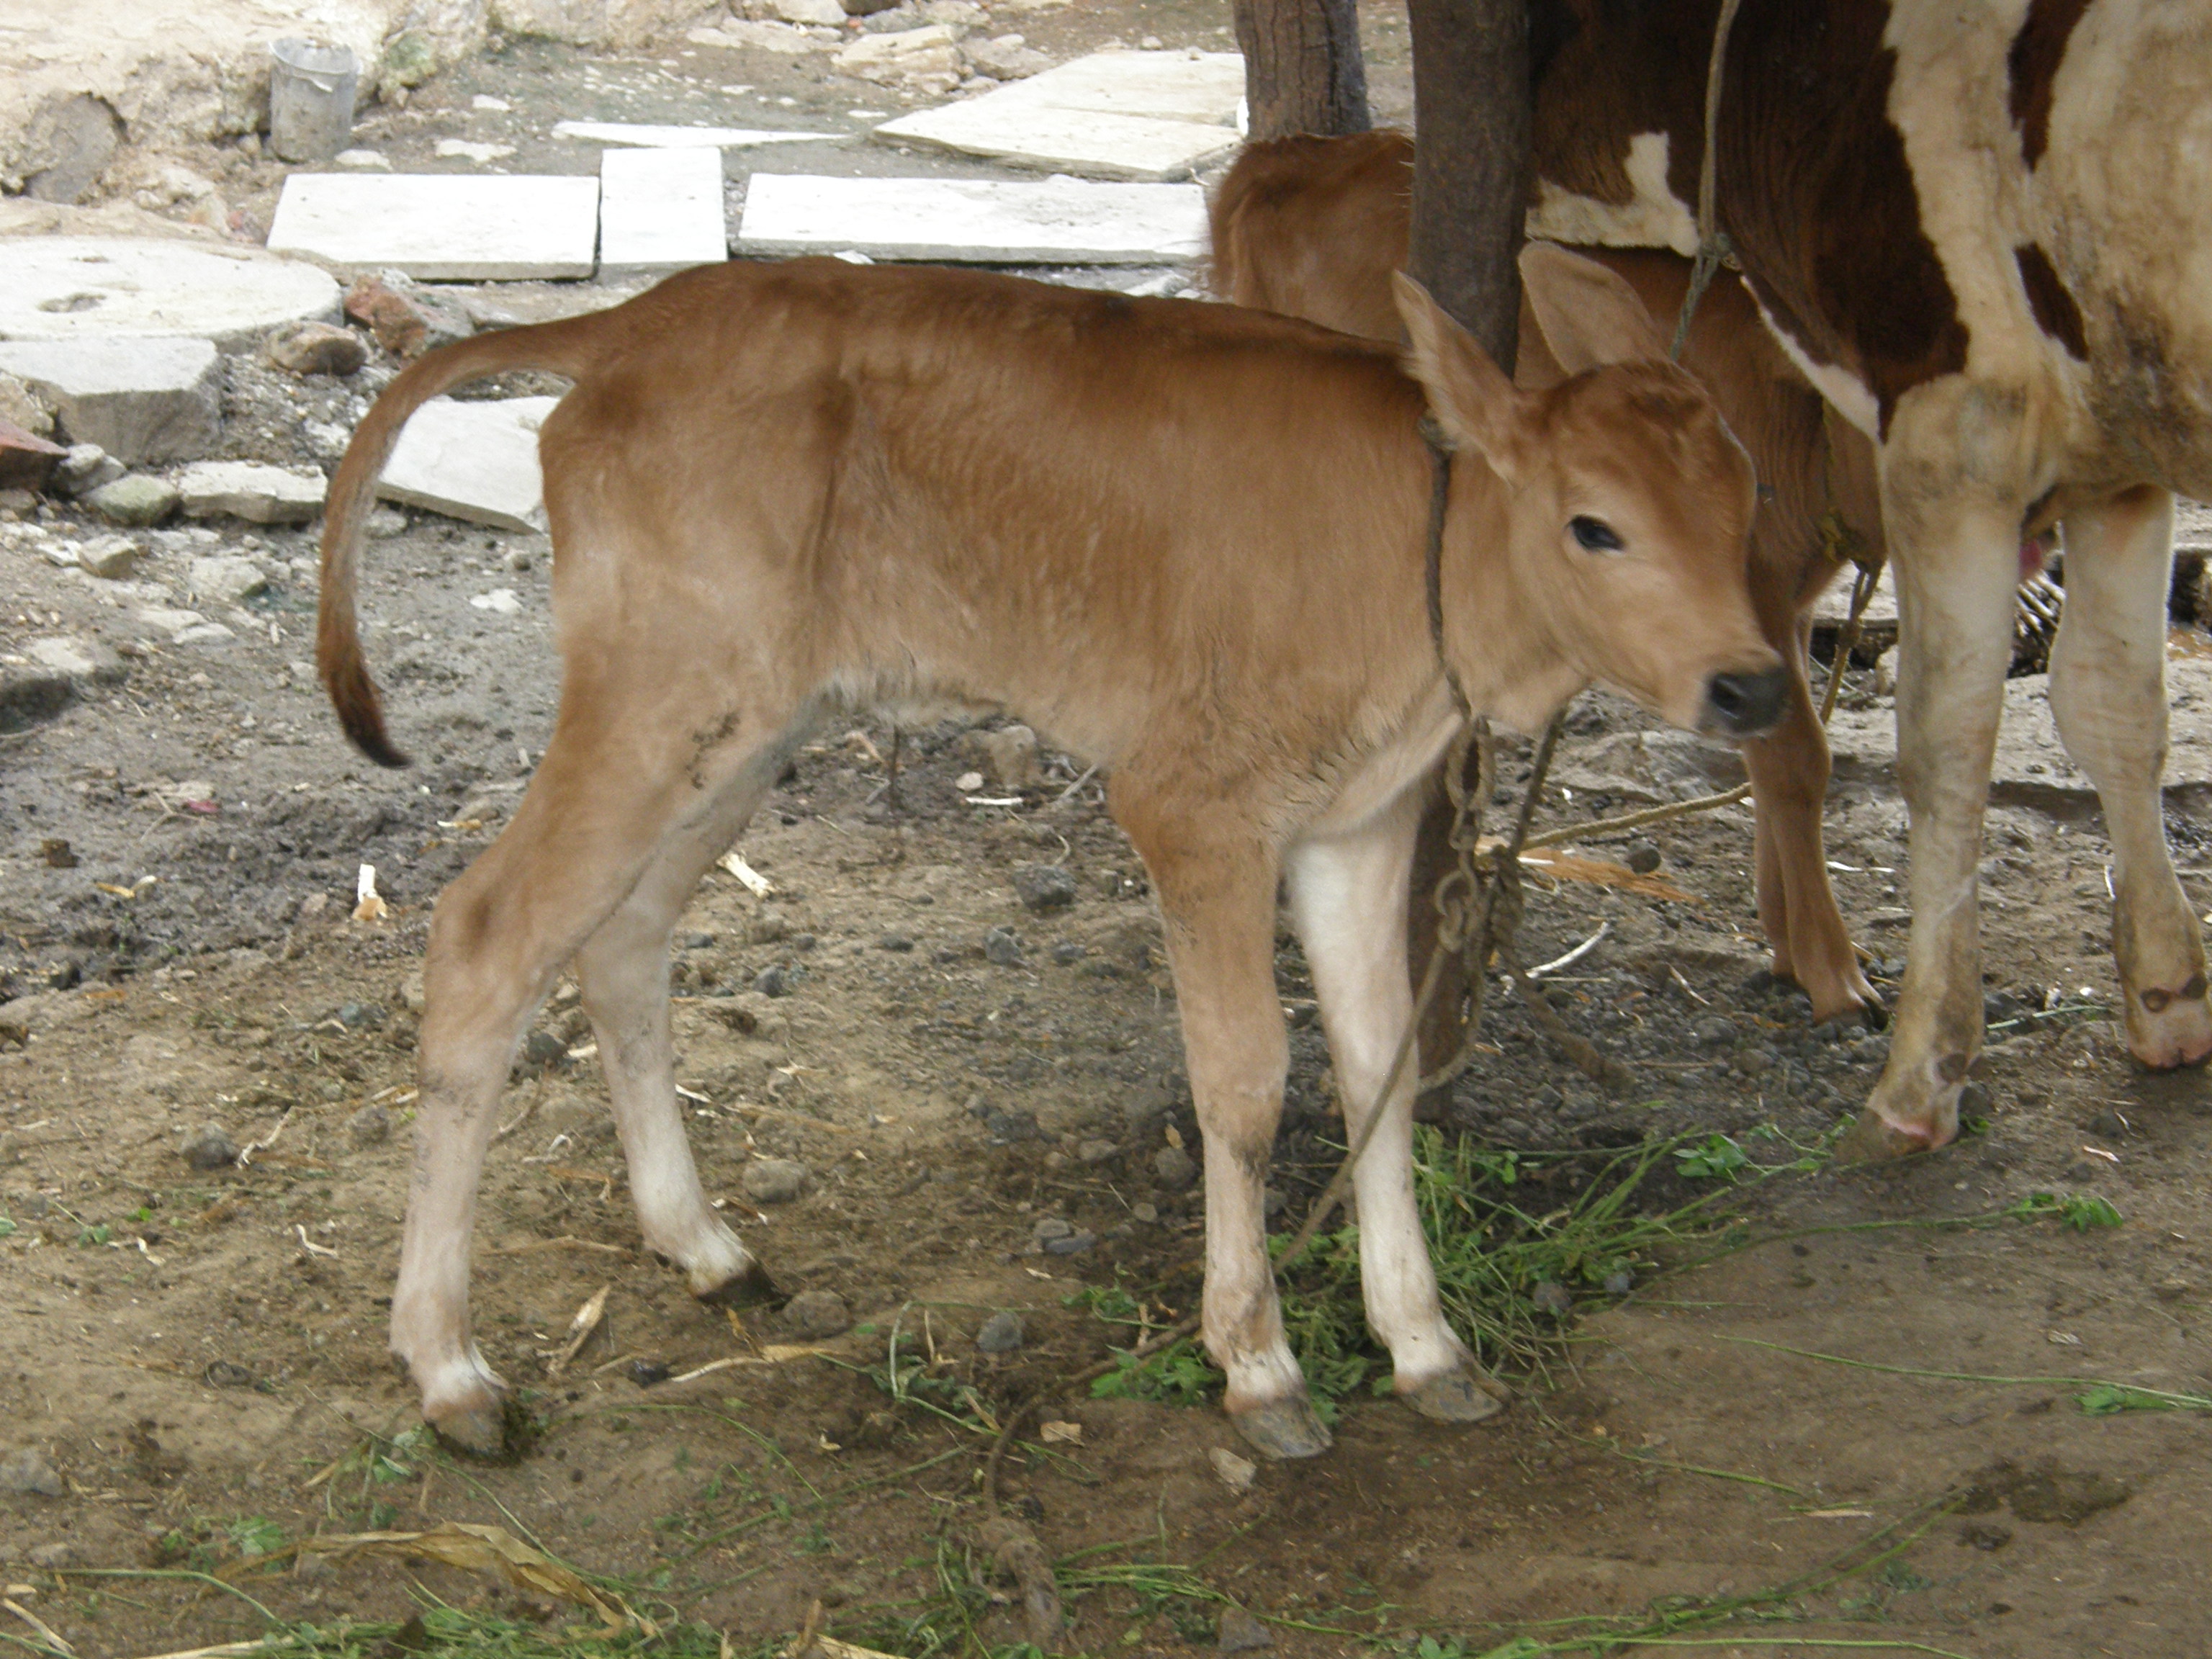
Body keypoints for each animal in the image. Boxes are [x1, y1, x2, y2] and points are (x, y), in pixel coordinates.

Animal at [317, 252, 1786, 1459]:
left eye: (1745, 499)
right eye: (1594, 523)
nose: (1756, 685)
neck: (1431, 575)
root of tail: (629, 322)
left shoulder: (1360, 820)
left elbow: (1381, 1067)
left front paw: (1425, 1346)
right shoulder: (1193, 802)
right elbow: (1245, 1083)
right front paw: (1259, 1365)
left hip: (747, 722)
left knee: (625, 934)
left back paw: (702, 1244)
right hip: (653, 690)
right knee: (487, 933)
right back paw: (450, 1368)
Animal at [1211, 127, 1888, 1028]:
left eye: (1745, 495)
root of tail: (1284, 153)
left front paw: (1785, 937)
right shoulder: (1762, 593)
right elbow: (1798, 758)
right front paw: (1832, 971)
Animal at [1517, 0, 2212, 1159]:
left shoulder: (1951, 431)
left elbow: (1940, 748)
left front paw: (1919, 1070)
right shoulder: (2115, 458)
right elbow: (2116, 711)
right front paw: (2166, 999)